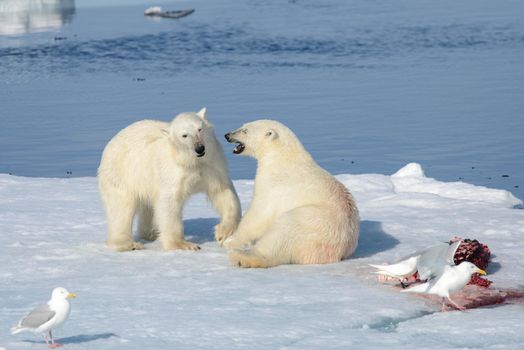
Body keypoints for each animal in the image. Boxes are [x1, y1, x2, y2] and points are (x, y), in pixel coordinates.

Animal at [98, 107, 242, 252]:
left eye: (199, 129)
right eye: (184, 135)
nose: (199, 148)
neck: (190, 161)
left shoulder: (212, 166)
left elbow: (224, 193)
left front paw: (223, 233)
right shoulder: (172, 172)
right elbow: (169, 202)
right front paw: (183, 245)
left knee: (148, 208)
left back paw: (151, 233)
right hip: (123, 174)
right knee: (121, 209)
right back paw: (128, 244)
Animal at [225, 120, 360, 268]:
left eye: (245, 131)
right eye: (243, 125)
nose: (227, 135)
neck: (282, 156)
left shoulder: (274, 185)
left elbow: (259, 214)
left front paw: (230, 240)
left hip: (310, 221)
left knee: (281, 233)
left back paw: (241, 257)